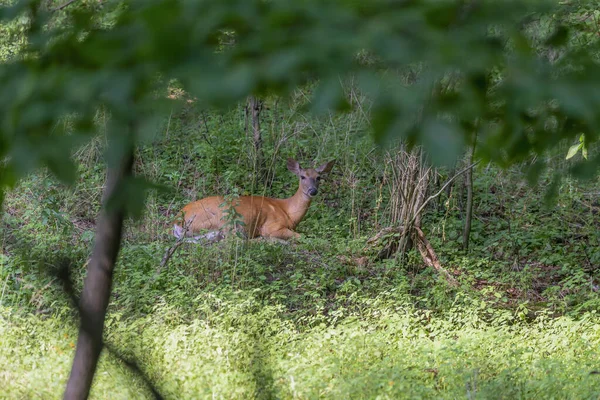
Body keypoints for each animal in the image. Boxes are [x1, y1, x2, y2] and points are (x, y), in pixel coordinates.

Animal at [172, 158, 338, 242]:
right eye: (302, 177)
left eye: (319, 177)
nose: (313, 191)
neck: (288, 212)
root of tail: (176, 221)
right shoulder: (271, 226)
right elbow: (301, 236)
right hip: (222, 218)